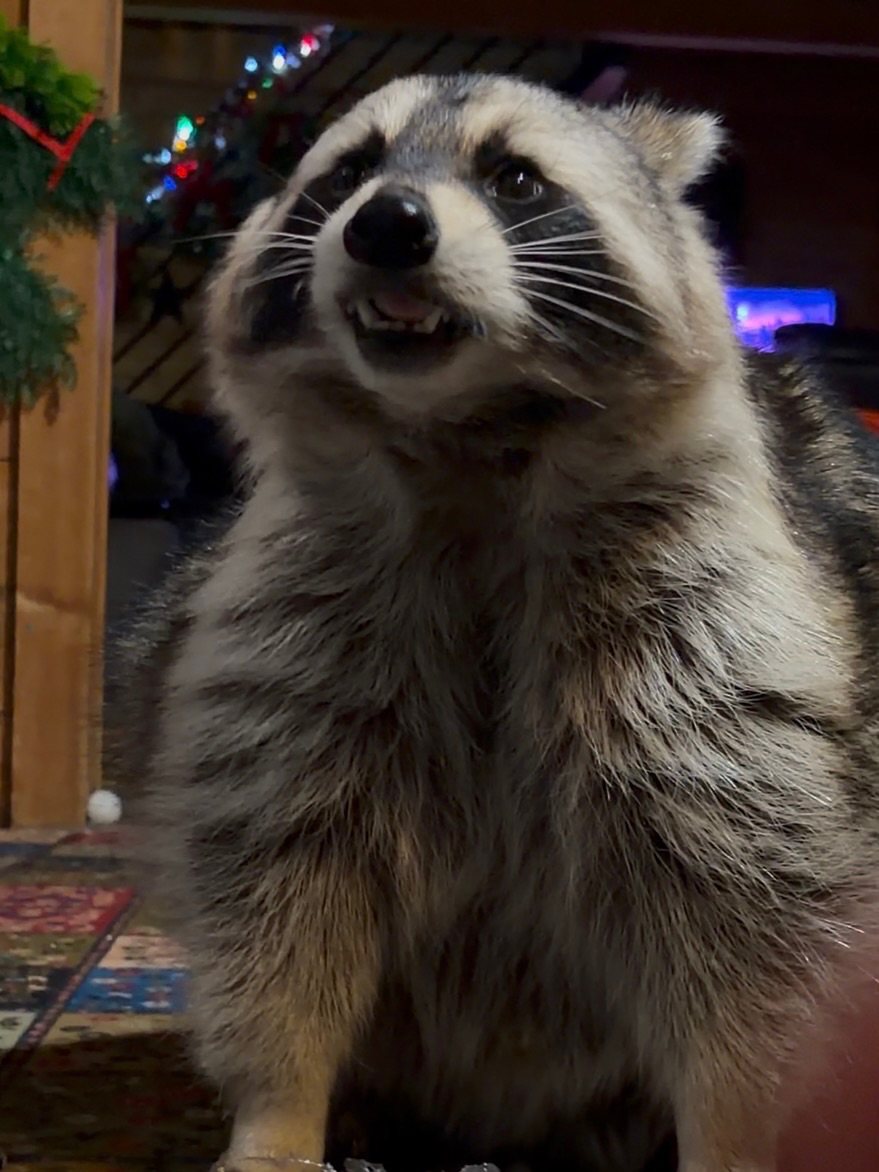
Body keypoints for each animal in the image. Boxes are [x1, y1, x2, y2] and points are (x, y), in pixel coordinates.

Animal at [113, 73, 879, 1172]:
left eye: (514, 178)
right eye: (349, 171)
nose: (387, 222)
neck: (465, 436)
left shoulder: (713, 639)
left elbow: (742, 916)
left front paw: (733, 1129)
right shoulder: (292, 628)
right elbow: (277, 892)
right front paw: (279, 1110)